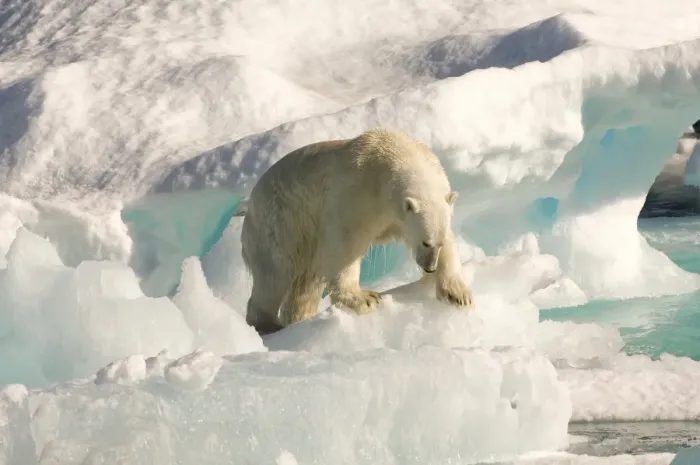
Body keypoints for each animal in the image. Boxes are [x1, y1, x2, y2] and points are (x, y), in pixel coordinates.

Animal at [237, 127, 473, 335]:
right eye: (425, 242)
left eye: (436, 243)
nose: (430, 267)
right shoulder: (357, 194)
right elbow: (344, 246)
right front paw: (364, 299)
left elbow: (450, 241)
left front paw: (458, 295)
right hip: (280, 223)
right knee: (275, 273)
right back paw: (268, 324)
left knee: (305, 284)